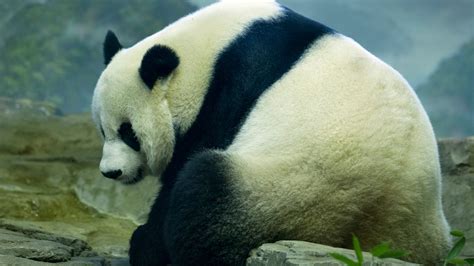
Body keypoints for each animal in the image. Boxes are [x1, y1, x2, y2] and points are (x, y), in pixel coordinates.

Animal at [92, 1, 452, 264]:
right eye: (103, 130)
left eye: (129, 133)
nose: (111, 172)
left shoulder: (230, 90)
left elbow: (183, 168)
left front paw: (145, 242)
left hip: (291, 195)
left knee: (205, 196)